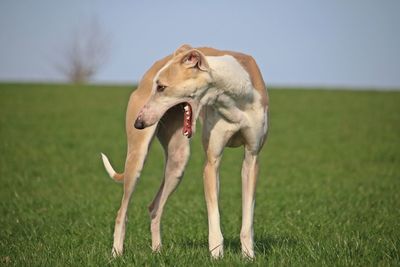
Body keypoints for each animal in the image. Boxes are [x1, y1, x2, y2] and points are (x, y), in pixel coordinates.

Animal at [101, 44, 268, 260]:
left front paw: (248, 256)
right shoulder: (211, 162)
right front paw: (216, 255)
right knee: (122, 211)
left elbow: (248, 218)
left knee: (155, 207)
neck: (235, 95)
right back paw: (117, 253)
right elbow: (214, 214)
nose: (138, 123)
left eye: (161, 87)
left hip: (177, 163)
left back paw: (157, 250)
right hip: (137, 158)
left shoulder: (252, 158)